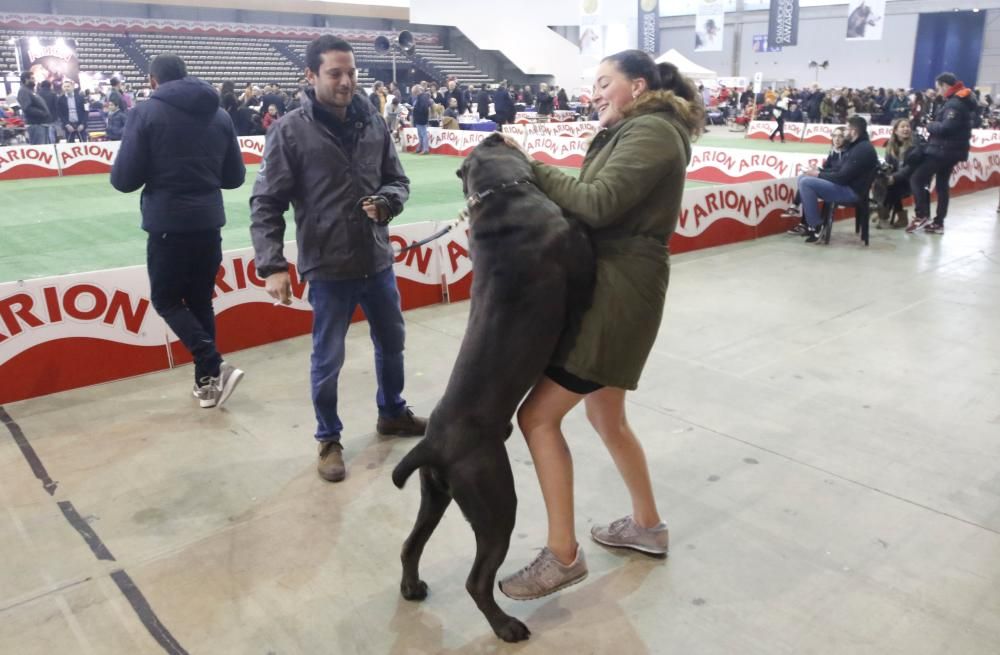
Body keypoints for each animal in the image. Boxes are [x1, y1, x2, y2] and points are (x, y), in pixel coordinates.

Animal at [390, 135, 592, 644]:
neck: (501, 193)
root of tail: (433, 444)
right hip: (495, 500)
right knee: (477, 580)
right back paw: (507, 627)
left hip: (435, 495)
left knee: (410, 544)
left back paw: (412, 587)